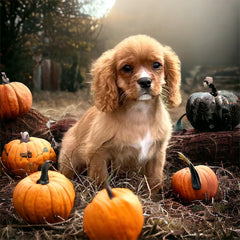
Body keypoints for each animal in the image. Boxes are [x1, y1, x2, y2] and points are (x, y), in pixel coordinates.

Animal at [58, 34, 181, 195]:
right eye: (126, 68)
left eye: (156, 65)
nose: (145, 81)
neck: (139, 112)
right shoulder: (98, 153)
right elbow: (101, 181)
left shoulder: (157, 153)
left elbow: (155, 181)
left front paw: (152, 197)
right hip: (70, 157)